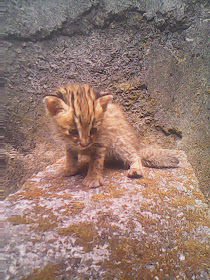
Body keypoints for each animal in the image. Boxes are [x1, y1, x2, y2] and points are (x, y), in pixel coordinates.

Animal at [44, 83, 179, 188]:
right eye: (73, 132)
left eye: (93, 130)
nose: (85, 144)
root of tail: (137, 145)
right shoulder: (69, 144)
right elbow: (70, 157)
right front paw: (69, 169)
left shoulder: (101, 142)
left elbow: (96, 162)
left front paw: (93, 178)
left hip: (119, 141)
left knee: (135, 155)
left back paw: (135, 169)